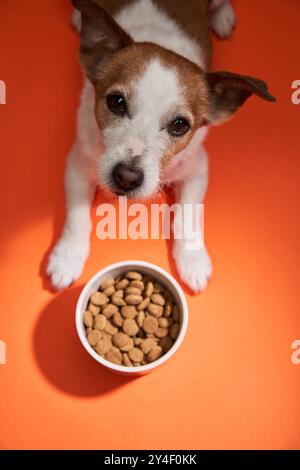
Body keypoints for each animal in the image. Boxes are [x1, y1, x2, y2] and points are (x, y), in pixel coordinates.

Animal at [46, 0, 274, 292]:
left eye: (179, 125)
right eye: (116, 102)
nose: (126, 177)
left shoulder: (196, 170)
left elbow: (188, 214)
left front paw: (192, 259)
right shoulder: (77, 165)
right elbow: (77, 216)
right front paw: (67, 256)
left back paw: (222, 16)